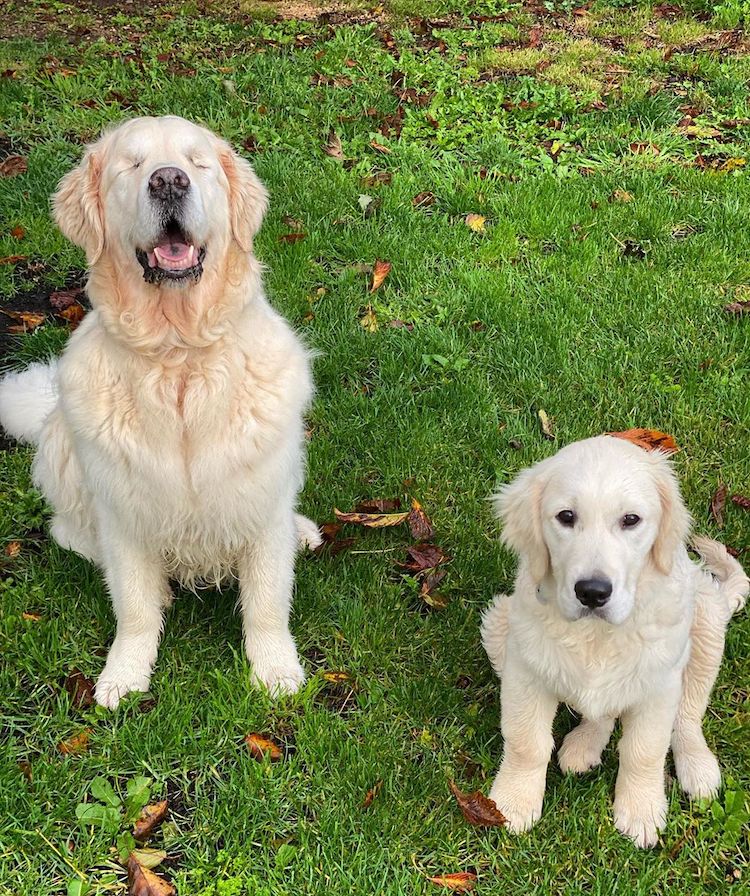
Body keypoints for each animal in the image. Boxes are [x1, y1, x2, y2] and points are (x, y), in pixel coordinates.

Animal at [0, 115, 320, 708]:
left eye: (198, 162)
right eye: (131, 165)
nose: (168, 181)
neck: (179, 358)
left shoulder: (260, 502)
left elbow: (267, 602)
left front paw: (276, 672)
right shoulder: (125, 515)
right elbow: (134, 608)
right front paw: (124, 676)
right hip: (62, 454)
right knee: (70, 532)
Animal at [484, 438, 748, 852]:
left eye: (630, 520)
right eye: (566, 516)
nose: (592, 592)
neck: (597, 635)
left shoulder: (659, 684)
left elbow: (645, 750)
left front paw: (641, 811)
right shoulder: (524, 670)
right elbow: (527, 741)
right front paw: (513, 801)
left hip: (704, 620)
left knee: (688, 714)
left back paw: (698, 766)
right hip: (499, 622)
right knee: (604, 710)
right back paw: (585, 745)